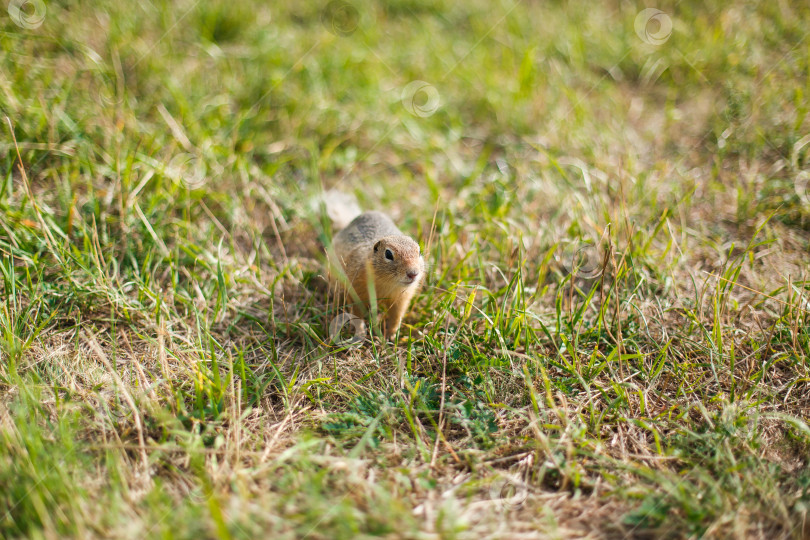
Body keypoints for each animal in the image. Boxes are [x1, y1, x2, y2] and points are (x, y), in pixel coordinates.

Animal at [326, 210, 422, 338]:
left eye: (419, 252)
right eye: (388, 254)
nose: (413, 273)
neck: (386, 282)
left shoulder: (402, 298)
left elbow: (396, 316)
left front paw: (391, 334)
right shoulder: (355, 291)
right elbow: (357, 313)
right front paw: (360, 332)